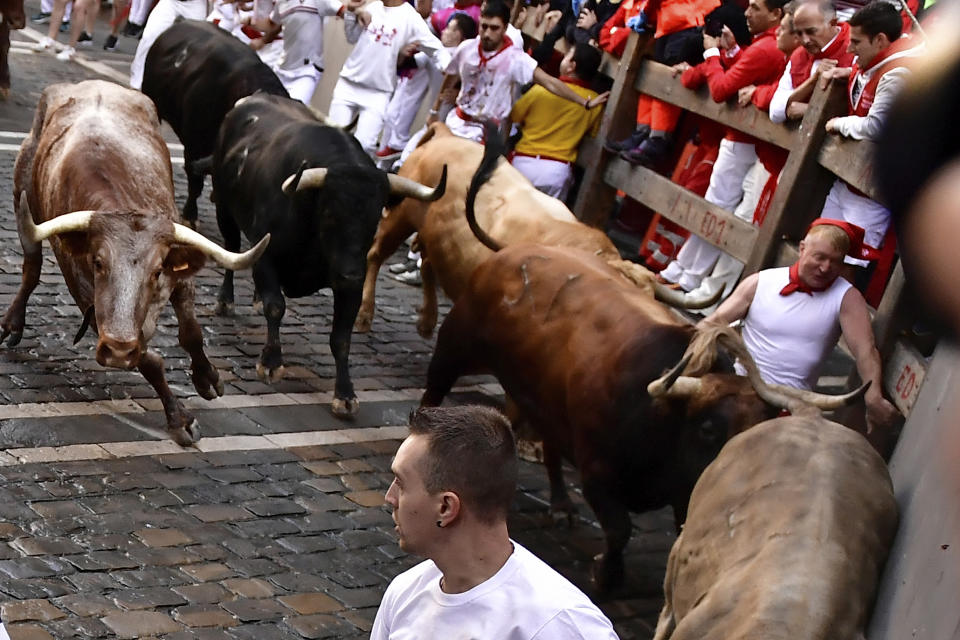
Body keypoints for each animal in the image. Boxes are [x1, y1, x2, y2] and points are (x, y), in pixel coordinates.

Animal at [3, 80, 268, 444]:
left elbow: (192, 334)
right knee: (31, 269)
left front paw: (208, 378)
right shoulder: (89, 300)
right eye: (98, 262)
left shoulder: (179, 278)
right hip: (21, 195)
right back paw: (13, 322)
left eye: (156, 270)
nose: (117, 347)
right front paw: (179, 418)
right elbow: (147, 359)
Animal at [207, 92, 446, 418]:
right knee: (231, 249)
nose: (352, 273)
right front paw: (271, 362)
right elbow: (276, 306)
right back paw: (225, 300)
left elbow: (341, 338)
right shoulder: (266, 256)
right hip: (224, 209)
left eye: (375, 219)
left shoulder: (350, 286)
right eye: (331, 213)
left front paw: (345, 394)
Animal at [354, 122, 712, 338]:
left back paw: (427, 322)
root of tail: (446, 137)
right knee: (376, 254)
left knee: (428, 264)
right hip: (400, 216)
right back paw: (364, 314)